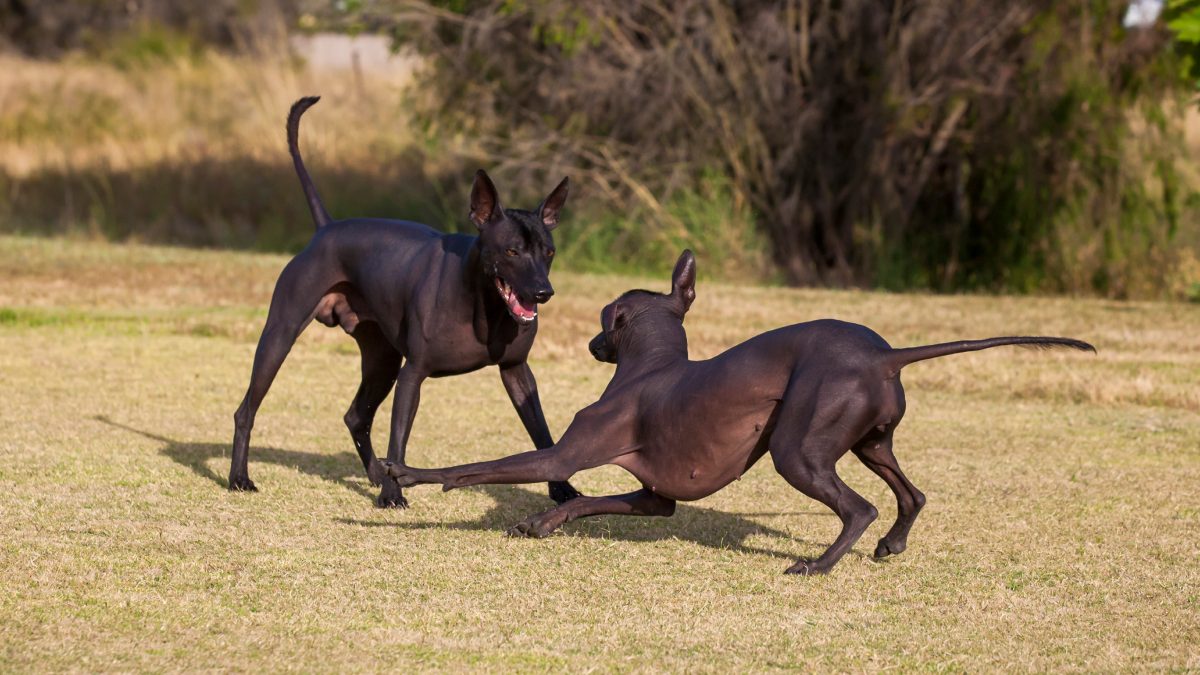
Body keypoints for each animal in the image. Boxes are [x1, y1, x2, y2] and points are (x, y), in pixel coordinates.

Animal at [229, 94, 580, 504]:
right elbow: (399, 438)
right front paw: (392, 494)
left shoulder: (517, 371)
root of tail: (326, 229)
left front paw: (563, 488)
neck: (483, 306)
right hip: (280, 336)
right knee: (246, 410)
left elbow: (542, 434)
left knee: (356, 416)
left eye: (549, 252)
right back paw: (239, 477)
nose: (544, 292)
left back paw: (374, 473)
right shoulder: (413, 373)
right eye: (511, 251)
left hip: (382, 359)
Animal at [379, 248, 1094, 571]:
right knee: (910, 494)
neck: (652, 363)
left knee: (858, 507)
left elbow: (481, 466)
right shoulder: (653, 499)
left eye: (607, 320)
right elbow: (588, 501)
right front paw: (539, 523)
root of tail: (886, 356)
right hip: (870, 440)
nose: (590, 344)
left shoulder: (564, 452)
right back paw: (891, 544)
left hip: (797, 449)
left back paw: (819, 565)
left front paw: (406, 475)